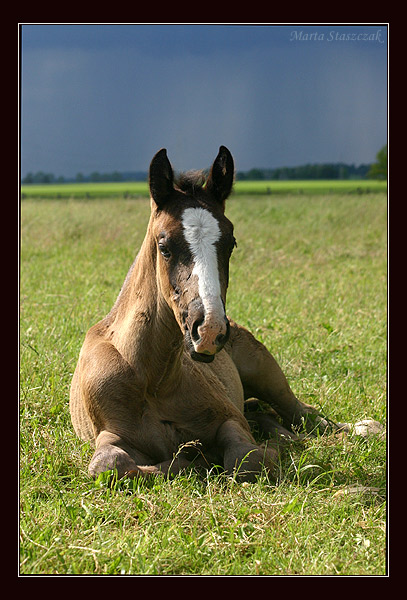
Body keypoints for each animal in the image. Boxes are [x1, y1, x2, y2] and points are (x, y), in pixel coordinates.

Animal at [69, 146, 326, 482]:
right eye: (164, 246)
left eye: (231, 243)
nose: (209, 331)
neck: (153, 379)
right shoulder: (110, 433)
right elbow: (111, 464)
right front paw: (189, 461)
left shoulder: (229, 418)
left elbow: (247, 459)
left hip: (267, 375)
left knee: (303, 414)